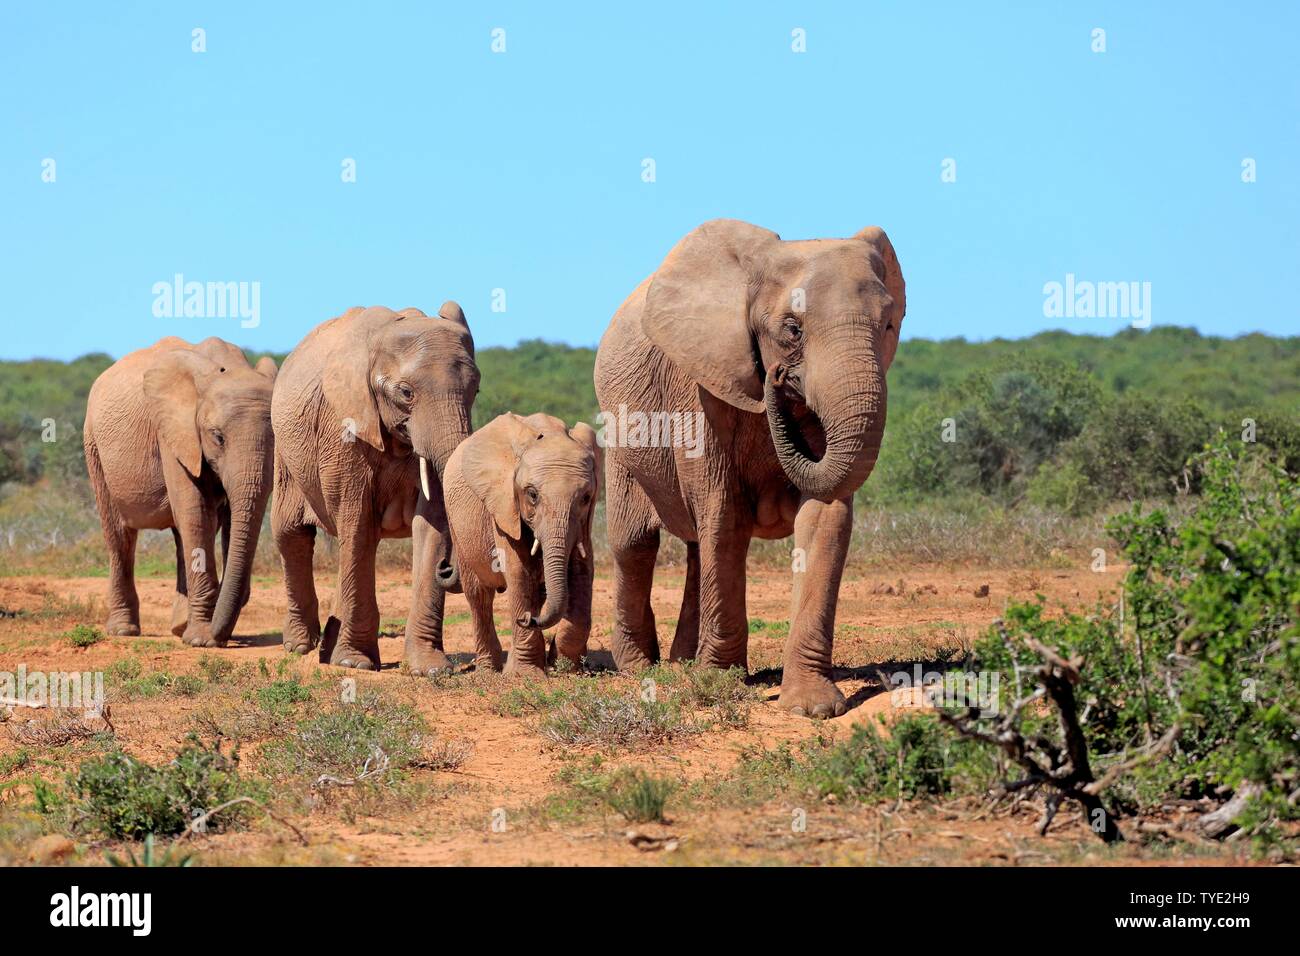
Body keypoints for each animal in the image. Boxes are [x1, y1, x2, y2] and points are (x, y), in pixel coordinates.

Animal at [87, 338, 280, 650]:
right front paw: (202, 640)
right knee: (120, 537)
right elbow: (196, 513)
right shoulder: (173, 432)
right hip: (94, 446)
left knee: (180, 536)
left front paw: (203, 633)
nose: (220, 635)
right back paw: (124, 630)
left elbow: (220, 521)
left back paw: (178, 627)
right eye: (217, 437)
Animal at [270, 304, 478, 671]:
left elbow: (431, 526)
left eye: (476, 390)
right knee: (291, 533)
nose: (448, 567)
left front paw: (431, 668)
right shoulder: (343, 431)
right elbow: (357, 524)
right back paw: (300, 647)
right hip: (284, 450)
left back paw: (327, 650)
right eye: (406, 393)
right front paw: (354, 664)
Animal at [439, 416, 595, 676]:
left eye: (586, 498)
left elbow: (583, 571)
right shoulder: (504, 506)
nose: (527, 619)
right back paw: (488, 671)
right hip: (456, 525)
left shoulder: (583, 522)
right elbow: (518, 571)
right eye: (532, 494)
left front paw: (566, 668)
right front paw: (526, 674)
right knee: (479, 595)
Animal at [592, 221, 904, 717]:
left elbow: (825, 516)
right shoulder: (698, 387)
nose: (777, 377)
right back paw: (641, 668)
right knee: (635, 542)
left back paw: (682, 662)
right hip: (621, 432)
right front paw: (719, 682)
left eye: (889, 325)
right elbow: (724, 512)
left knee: (695, 546)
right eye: (792, 330)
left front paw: (812, 708)